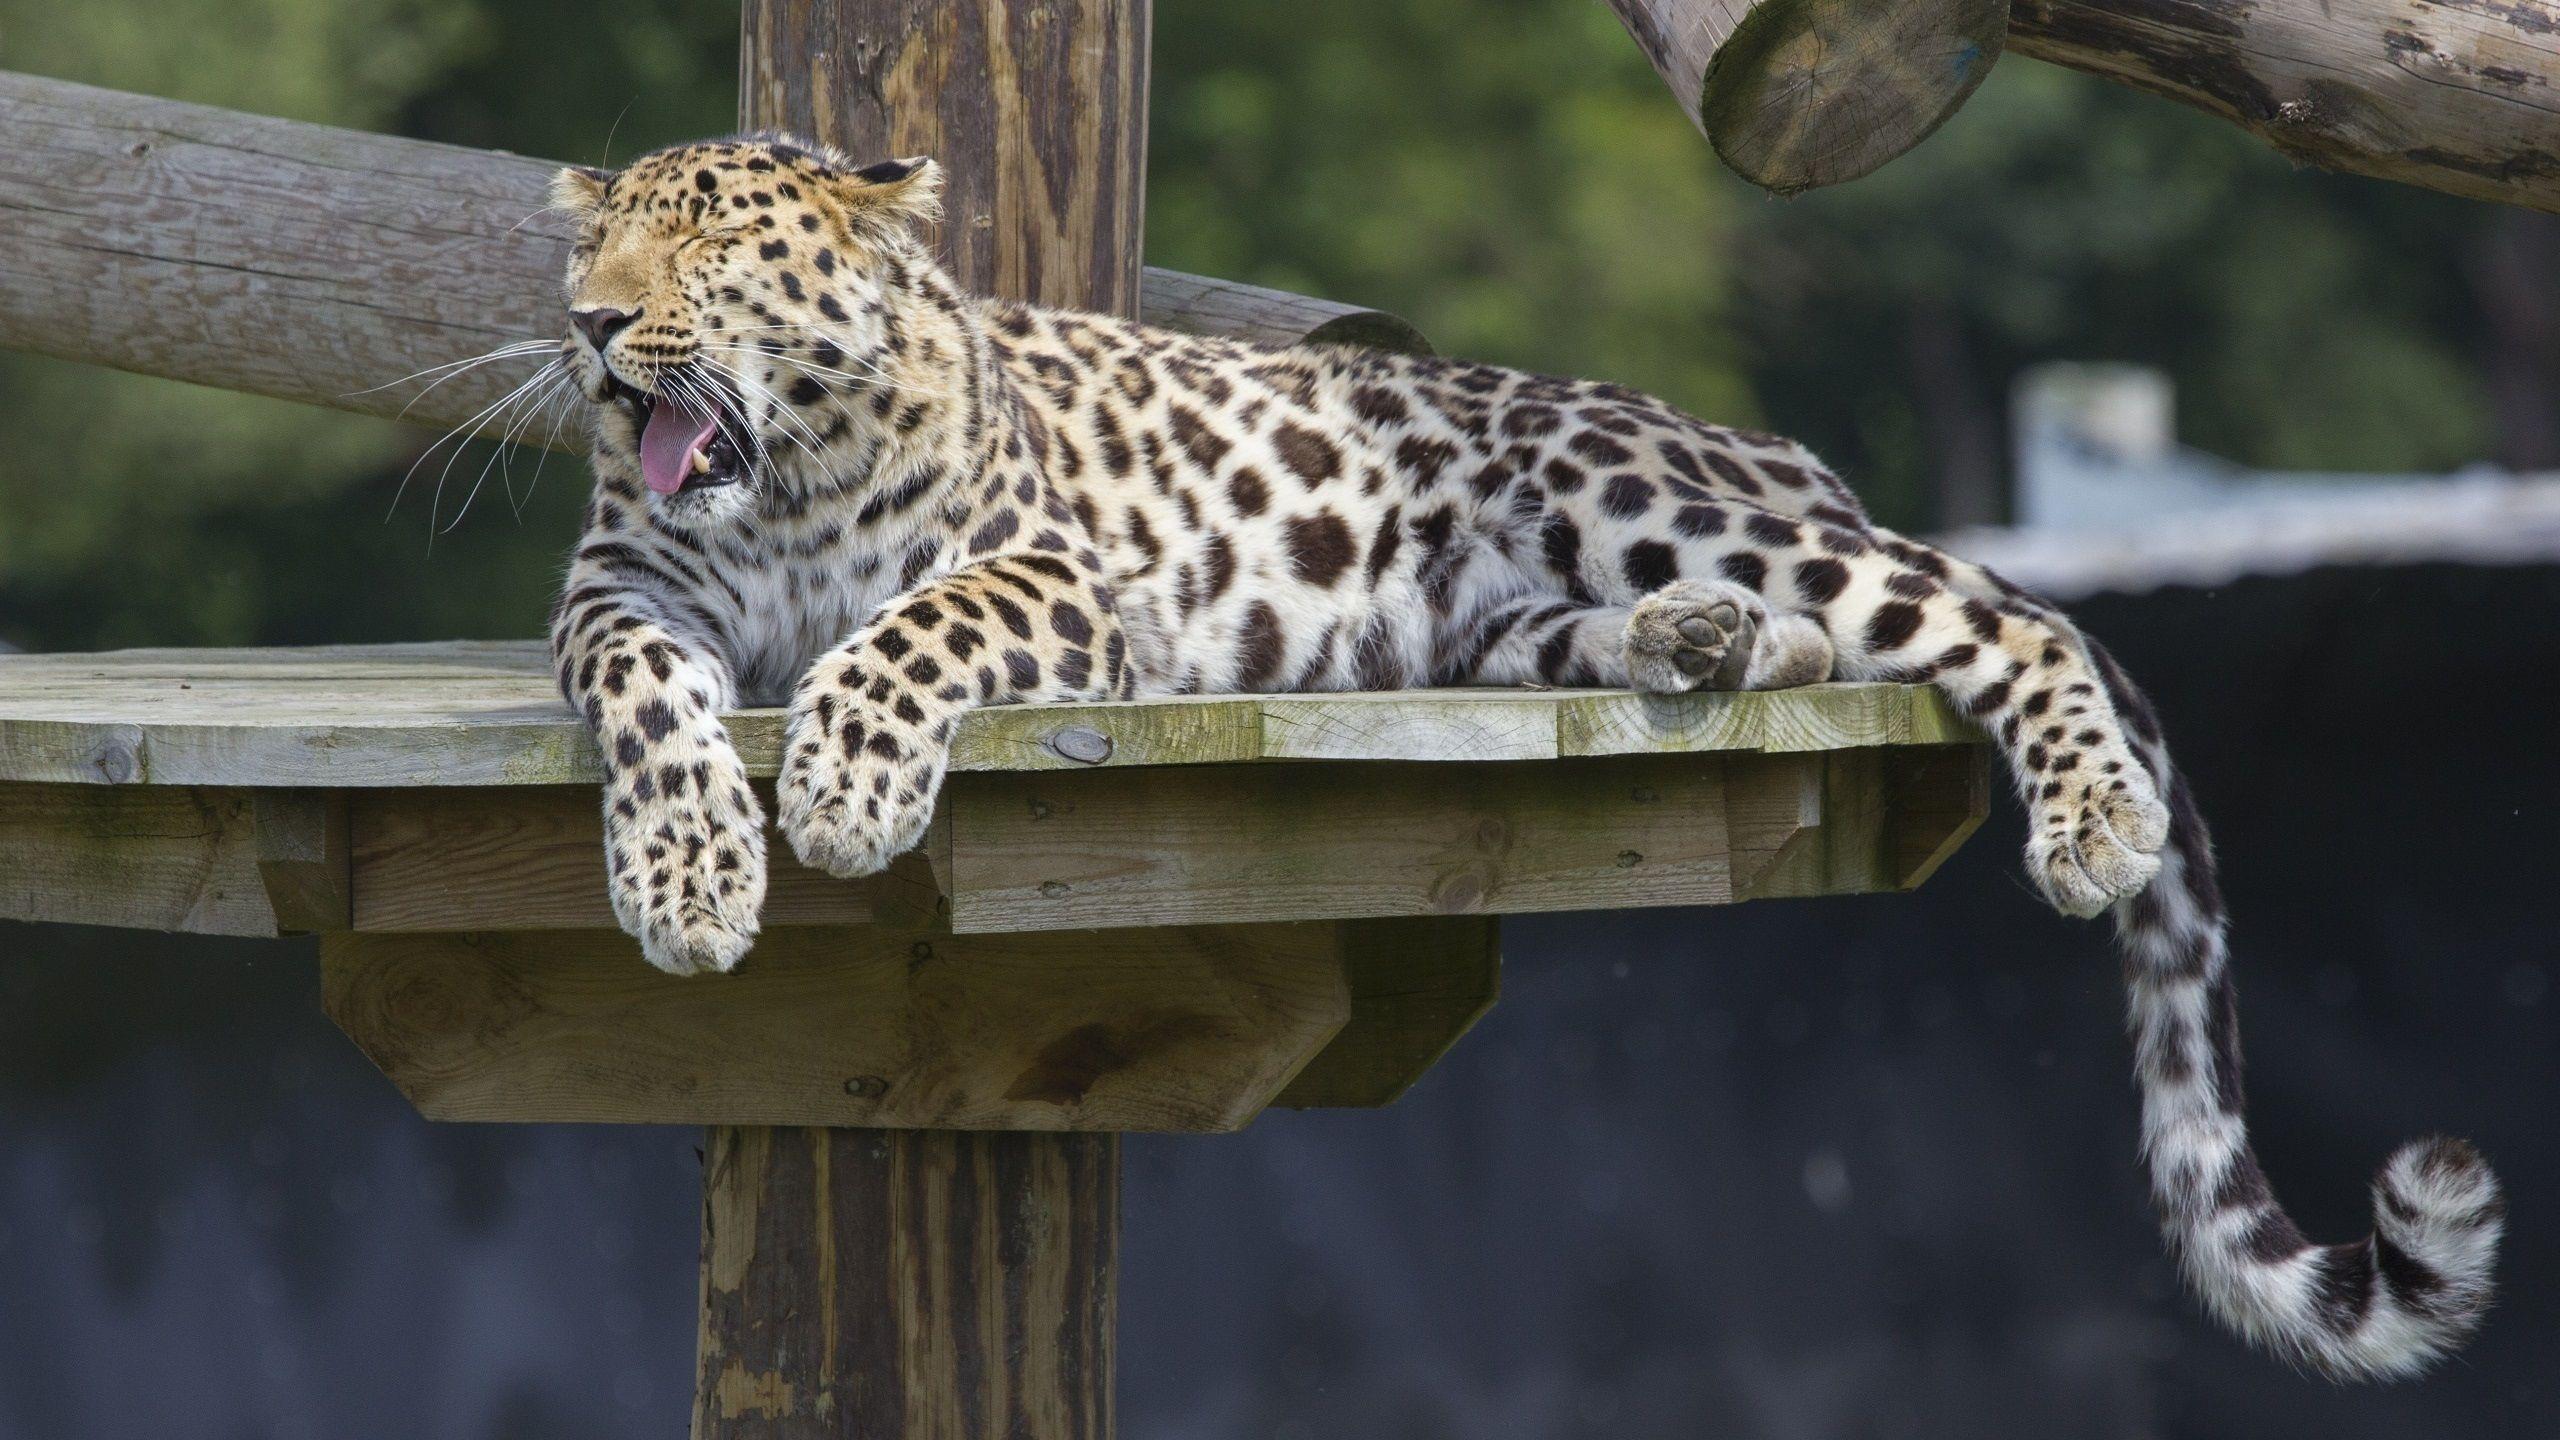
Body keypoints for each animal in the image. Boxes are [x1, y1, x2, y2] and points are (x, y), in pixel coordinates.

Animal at [541, 135, 2500, 1379]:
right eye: (593, 247)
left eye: (705, 248)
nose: (589, 328)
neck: (781, 483)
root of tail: (1786, 458)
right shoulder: (622, 593)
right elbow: (648, 698)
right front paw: (688, 875)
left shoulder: (1055, 575)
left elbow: (902, 641)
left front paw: (841, 794)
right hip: (1508, 617)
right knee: (1772, 633)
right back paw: (1704, 648)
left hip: (1627, 492)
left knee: (1996, 618)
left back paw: (2087, 810)